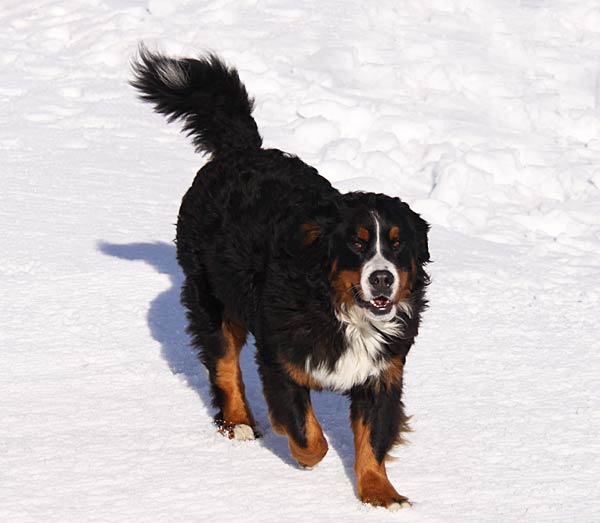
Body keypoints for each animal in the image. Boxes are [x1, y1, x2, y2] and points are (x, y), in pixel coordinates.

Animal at [131, 47, 432, 510]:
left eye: (398, 245)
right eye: (357, 243)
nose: (382, 278)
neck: (341, 311)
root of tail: (242, 153)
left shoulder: (382, 372)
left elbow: (373, 438)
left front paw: (381, 494)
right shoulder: (281, 359)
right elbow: (308, 433)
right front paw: (306, 460)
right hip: (212, 299)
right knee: (223, 363)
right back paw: (237, 423)